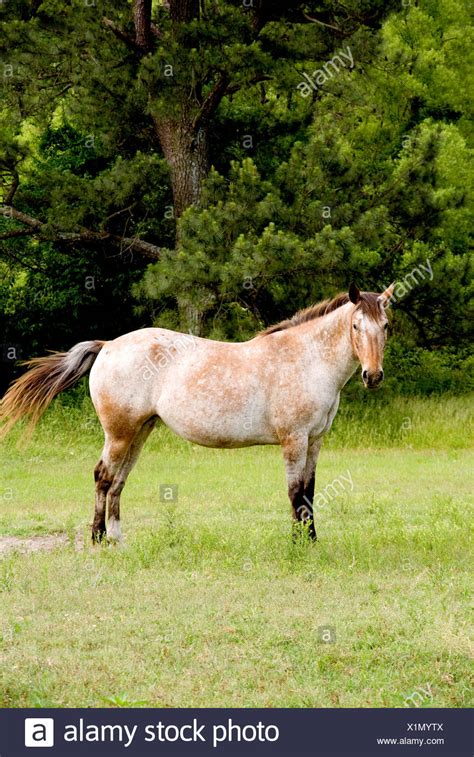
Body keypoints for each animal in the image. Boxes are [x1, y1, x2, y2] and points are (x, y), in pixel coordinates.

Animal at [0, 284, 392, 544]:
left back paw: (117, 539)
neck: (305, 358)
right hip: (119, 434)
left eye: (386, 326)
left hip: (140, 433)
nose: (372, 376)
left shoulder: (314, 441)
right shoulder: (293, 440)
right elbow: (296, 493)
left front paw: (311, 541)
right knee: (103, 477)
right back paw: (98, 539)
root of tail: (108, 345)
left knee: (118, 482)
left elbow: (309, 492)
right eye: (356, 326)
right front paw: (297, 545)